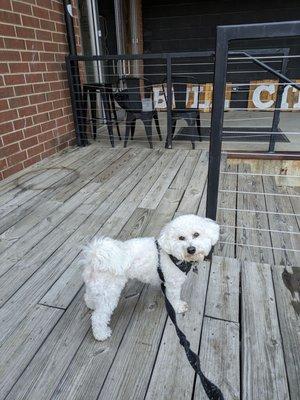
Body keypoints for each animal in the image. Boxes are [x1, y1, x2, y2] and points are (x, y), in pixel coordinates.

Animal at [81, 214, 219, 340]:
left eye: (196, 234)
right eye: (181, 238)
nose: (191, 249)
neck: (173, 256)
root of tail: (95, 256)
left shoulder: (165, 282)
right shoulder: (173, 284)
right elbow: (174, 298)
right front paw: (178, 307)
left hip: (97, 287)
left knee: (88, 296)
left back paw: (91, 304)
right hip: (109, 293)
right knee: (98, 317)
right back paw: (101, 334)